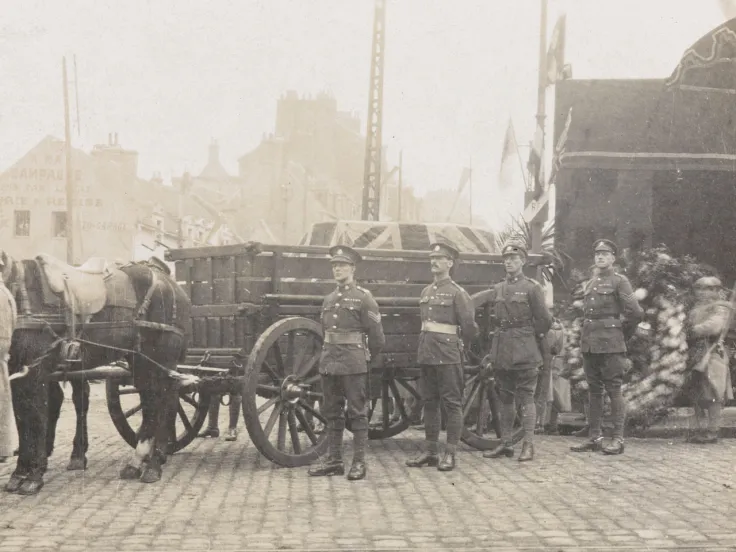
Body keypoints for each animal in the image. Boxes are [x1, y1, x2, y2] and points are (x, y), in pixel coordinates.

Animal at [0, 251, 193, 496]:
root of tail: (170, 282)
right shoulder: (17, 373)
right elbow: (21, 420)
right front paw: (19, 474)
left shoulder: (35, 373)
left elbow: (34, 419)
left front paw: (34, 476)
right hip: (140, 361)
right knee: (151, 403)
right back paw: (136, 462)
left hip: (162, 359)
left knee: (165, 402)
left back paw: (154, 465)